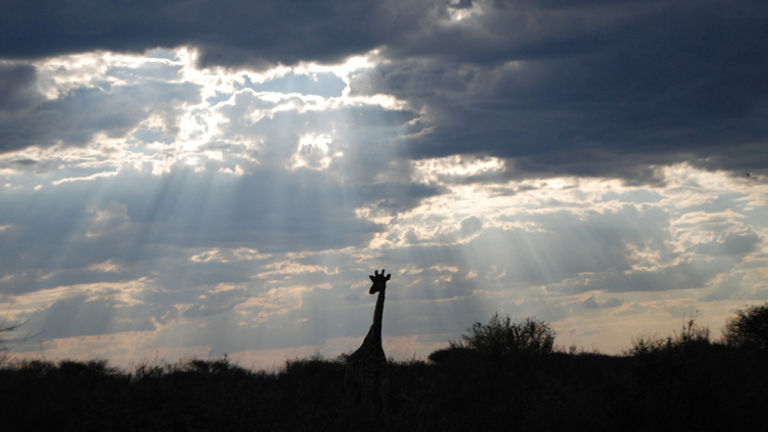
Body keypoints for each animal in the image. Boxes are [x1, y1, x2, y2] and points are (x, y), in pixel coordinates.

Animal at [344, 269, 391, 417]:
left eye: (382, 281)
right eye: (373, 281)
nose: (371, 290)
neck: (376, 342)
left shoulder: (382, 381)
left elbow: (384, 408)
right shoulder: (368, 380)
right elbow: (369, 408)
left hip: (361, 384)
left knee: (360, 402)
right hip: (350, 381)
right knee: (352, 402)